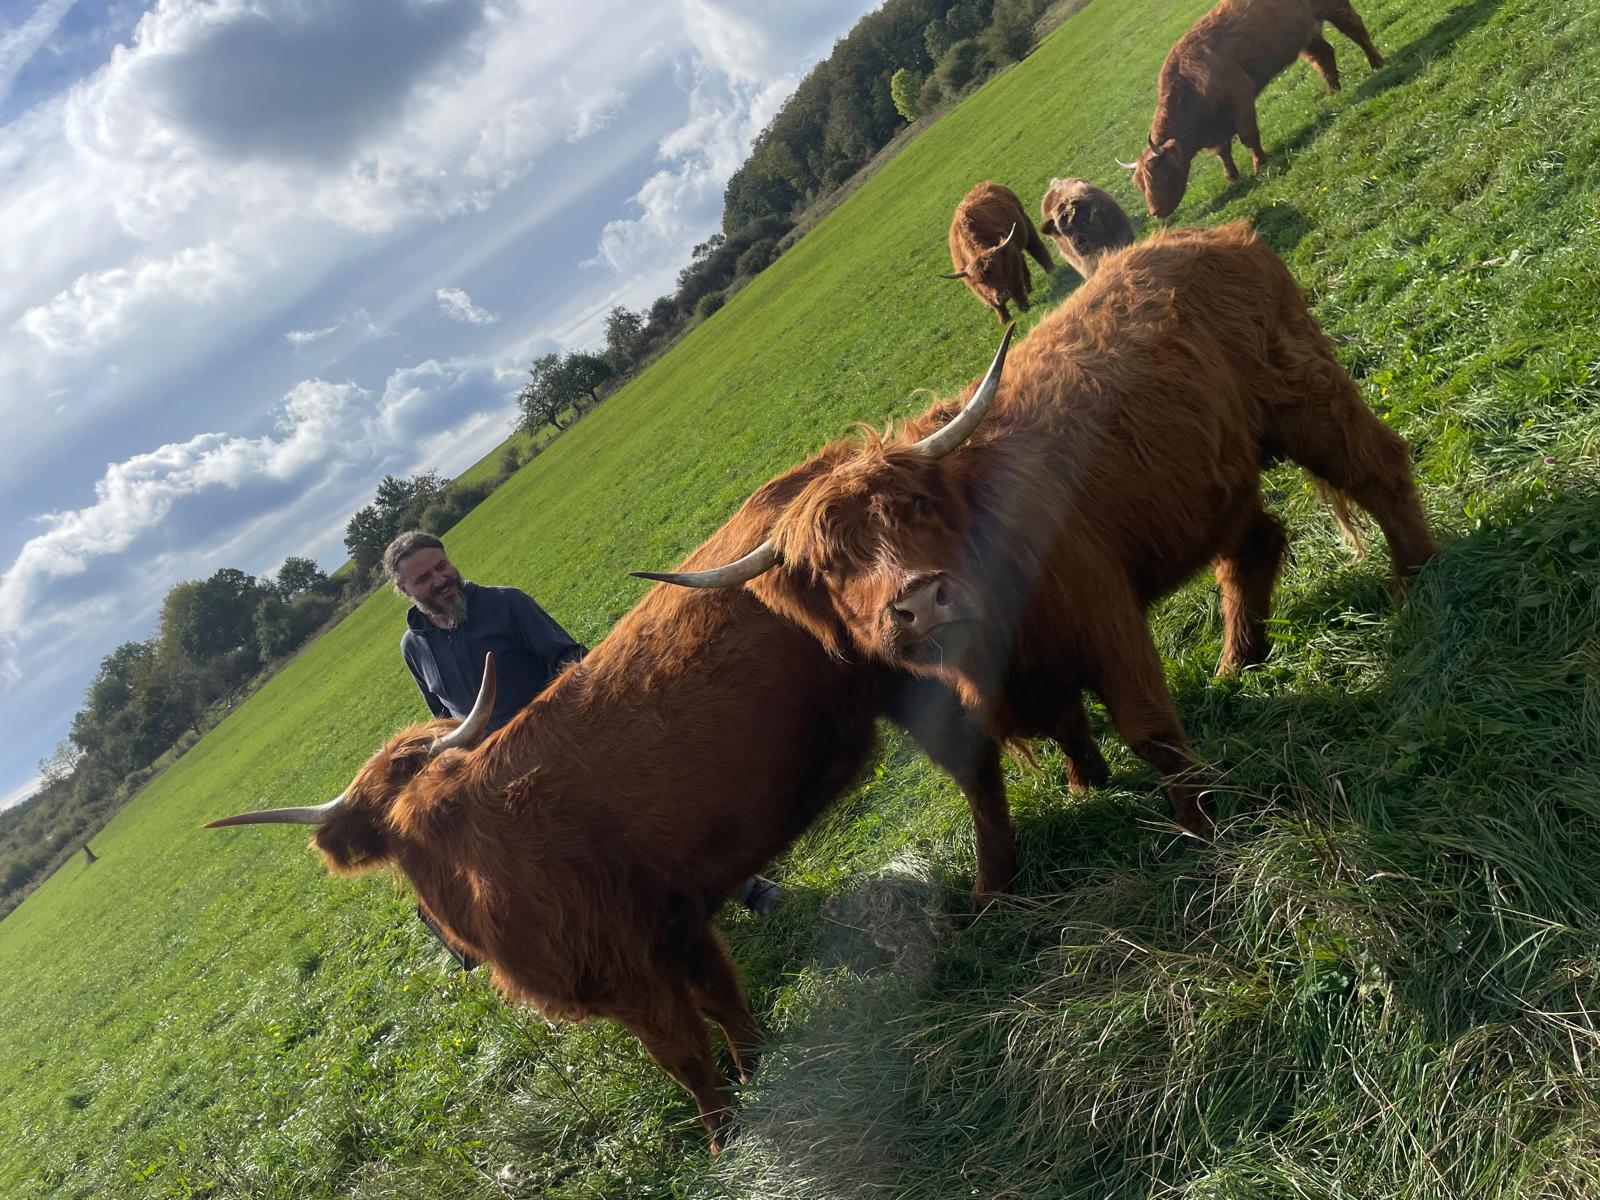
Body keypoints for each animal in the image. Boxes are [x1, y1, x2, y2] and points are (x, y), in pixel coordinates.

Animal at [204, 483, 1041, 1153]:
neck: (460, 850)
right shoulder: (677, 926)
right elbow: (728, 1008)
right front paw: (762, 1074)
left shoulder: (625, 973)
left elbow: (687, 1058)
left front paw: (724, 1142)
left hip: (909, 671)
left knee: (972, 763)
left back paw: (993, 893)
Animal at [636, 222, 1439, 840]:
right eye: (829, 569)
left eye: (919, 508)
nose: (919, 600)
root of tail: (1214, 235)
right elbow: (1064, 725)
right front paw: (1087, 784)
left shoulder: (1103, 618)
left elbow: (1149, 730)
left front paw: (1202, 825)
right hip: (1216, 478)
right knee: (1254, 544)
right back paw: (1237, 661)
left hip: (1305, 399)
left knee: (1379, 468)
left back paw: (1414, 582)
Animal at [942, 181, 1055, 322]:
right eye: (981, 282)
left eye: (999, 271)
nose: (1001, 296)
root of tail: (986, 183)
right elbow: (991, 301)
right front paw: (1003, 319)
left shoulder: (1009, 257)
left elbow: (1015, 286)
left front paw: (1024, 307)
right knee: (1023, 259)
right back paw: (1028, 288)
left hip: (1026, 225)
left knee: (1036, 248)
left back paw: (1051, 271)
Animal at [1119, 0, 1385, 217]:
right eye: (1140, 185)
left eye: (1158, 175)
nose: (1155, 213)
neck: (1189, 84)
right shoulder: (1217, 126)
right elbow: (1223, 152)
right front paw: (1231, 177)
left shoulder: (1240, 99)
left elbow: (1248, 137)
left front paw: (1259, 165)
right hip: (1306, 33)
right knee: (1323, 54)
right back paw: (1333, 92)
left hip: (1335, 9)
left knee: (1356, 30)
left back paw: (1376, 63)